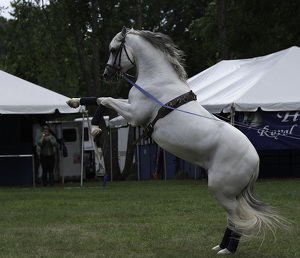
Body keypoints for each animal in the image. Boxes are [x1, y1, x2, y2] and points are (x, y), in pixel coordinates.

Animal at [68, 27, 286, 254]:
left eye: (113, 49)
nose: (107, 74)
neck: (157, 79)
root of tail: (255, 160)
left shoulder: (135, 115)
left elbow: (105, 100)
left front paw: (94, 129)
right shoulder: (130, 107)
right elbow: (100, 98)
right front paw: (74, 102)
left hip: (221, 191)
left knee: (237, 219)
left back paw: (228, 250)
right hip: (229, 193)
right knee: (233, 218)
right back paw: (220, 247)